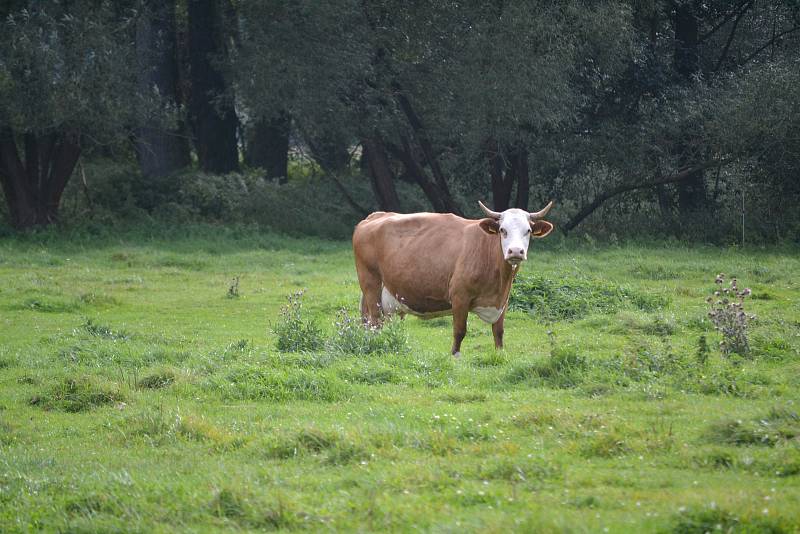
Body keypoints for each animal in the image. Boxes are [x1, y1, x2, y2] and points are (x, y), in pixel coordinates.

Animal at [354, 201, 552, 356]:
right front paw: (455, 357)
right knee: (375, 321)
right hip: (371, 284)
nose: (516, 251)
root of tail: (375, 216)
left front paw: (500, 354)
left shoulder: (503, 300)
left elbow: (499, 332)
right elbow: (459, 331)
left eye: (528, 230)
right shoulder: (459, 297)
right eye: (502, 230)